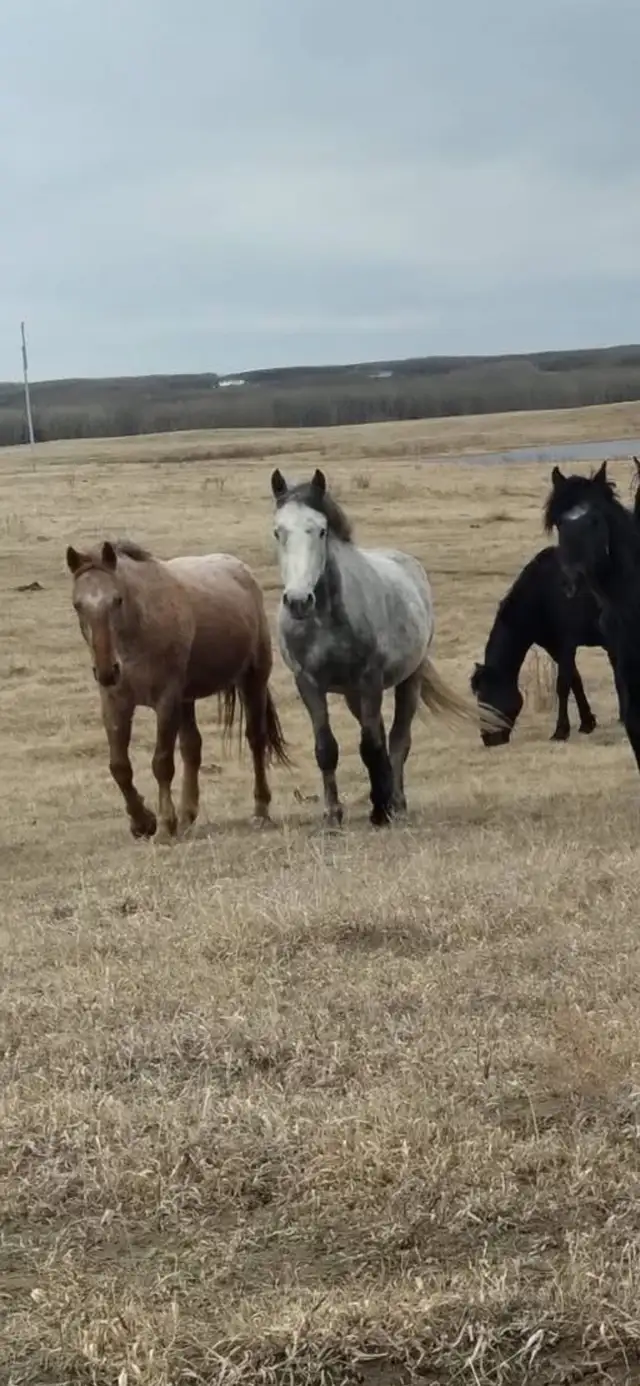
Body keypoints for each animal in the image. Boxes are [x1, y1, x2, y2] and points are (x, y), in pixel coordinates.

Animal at [66, 539, 290, 839]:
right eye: (78, 605)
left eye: (117, 600)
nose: (107, 671)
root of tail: (239, 568)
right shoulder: (116, 702)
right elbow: (120, 766)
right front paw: (142, 822)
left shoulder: (166, 700)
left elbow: (161, 763)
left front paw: (162, 825)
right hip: (187, 700)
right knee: (192, 748)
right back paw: (186, 816)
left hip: (252, 680)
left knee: (256, 740)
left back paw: (260, 811)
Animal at [270, 466, 502, 827]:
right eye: (278, 531)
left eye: (321, 531)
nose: (297, 601)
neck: (325, 619)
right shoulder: (308, 683)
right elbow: (326, 748)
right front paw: (333, 815)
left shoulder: (370, 679)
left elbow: (372, 745)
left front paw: (381, 808)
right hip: (354, 694)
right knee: (378, 734)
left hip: (408, 681)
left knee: (396, 740)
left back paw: (396, 801)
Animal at [470, 544, 623, 746]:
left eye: (487, 699)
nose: (488, 739)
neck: (544, 593)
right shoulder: (554, 647)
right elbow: (575, 680)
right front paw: (587, 723)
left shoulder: (567, 644)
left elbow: (563, 685)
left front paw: (561, 731)